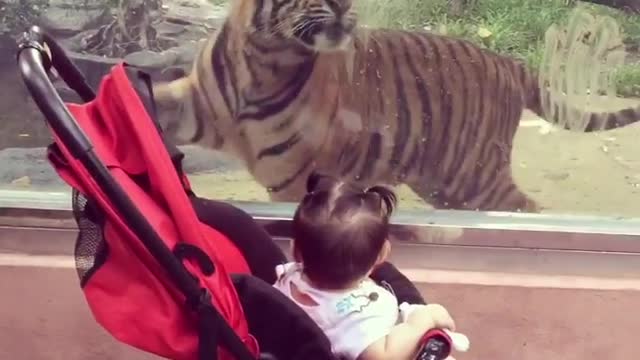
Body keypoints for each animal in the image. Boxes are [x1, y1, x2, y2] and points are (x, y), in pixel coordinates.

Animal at [151, 0, 640, 214]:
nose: (344, 7)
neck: (261, 55)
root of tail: (510, 62)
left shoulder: (291, 178)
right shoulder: (196, 102)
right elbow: (159, 101)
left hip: (476, 179)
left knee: (528, 208)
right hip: (445, 185)